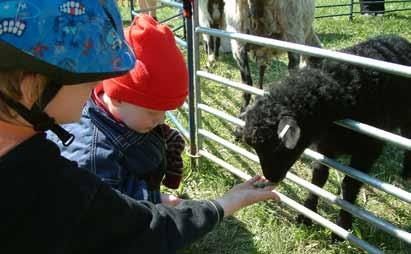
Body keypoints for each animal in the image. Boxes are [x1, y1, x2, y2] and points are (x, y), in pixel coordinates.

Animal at [241, 34, 411, 239]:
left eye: (277, 148)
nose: (271, 177)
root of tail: (397, 38)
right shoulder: (325, 146)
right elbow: (318, 177)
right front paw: (306, 214)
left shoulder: (369, 150)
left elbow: (350, 185)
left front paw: (342, 228)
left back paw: (407, 173)